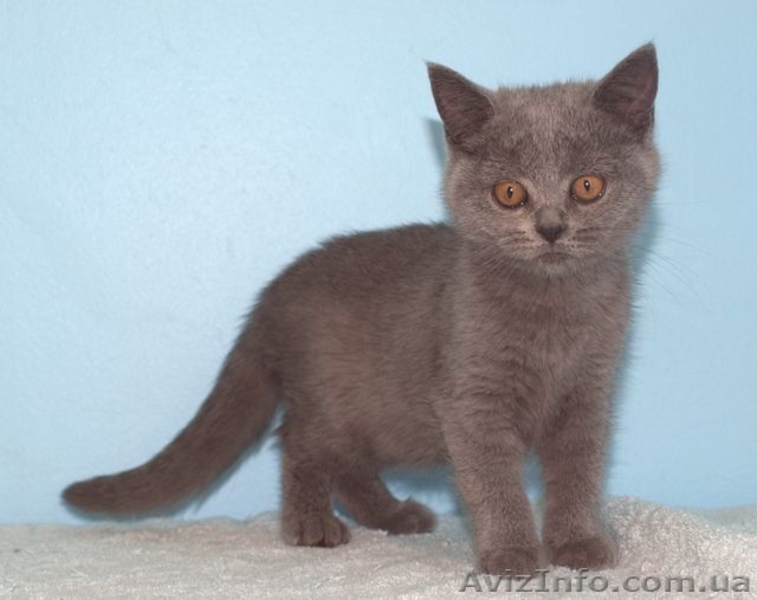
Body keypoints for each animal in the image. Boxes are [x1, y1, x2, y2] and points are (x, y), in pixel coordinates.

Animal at [63, 43, 659, 576]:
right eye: (510, 193)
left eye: (588, 185)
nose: (551, 227)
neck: (553, 311)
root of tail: (272, 294)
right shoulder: (470, 398)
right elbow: (494, 479)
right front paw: (512, 554)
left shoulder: (589, 395)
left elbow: (579, 473)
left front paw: (579, 544)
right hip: (329, 390)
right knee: (299, 443)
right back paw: (312, 525)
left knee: (346, 464)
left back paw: (393, 516)